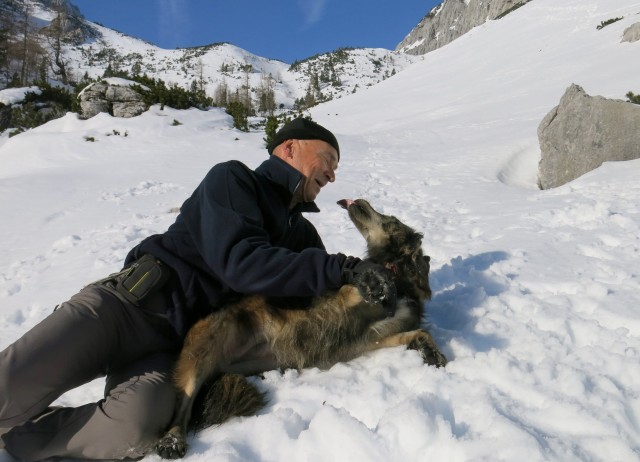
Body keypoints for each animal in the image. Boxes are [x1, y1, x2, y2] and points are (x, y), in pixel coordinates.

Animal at [155, 199, 444, 458]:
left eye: (390, 220)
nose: (358, 201)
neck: (398, 275)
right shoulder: (348, 300)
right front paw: (366, 275)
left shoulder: (373, 336)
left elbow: (420, 332)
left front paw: (432, 353)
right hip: (202, 351)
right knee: (183, 404)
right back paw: (172, 441)